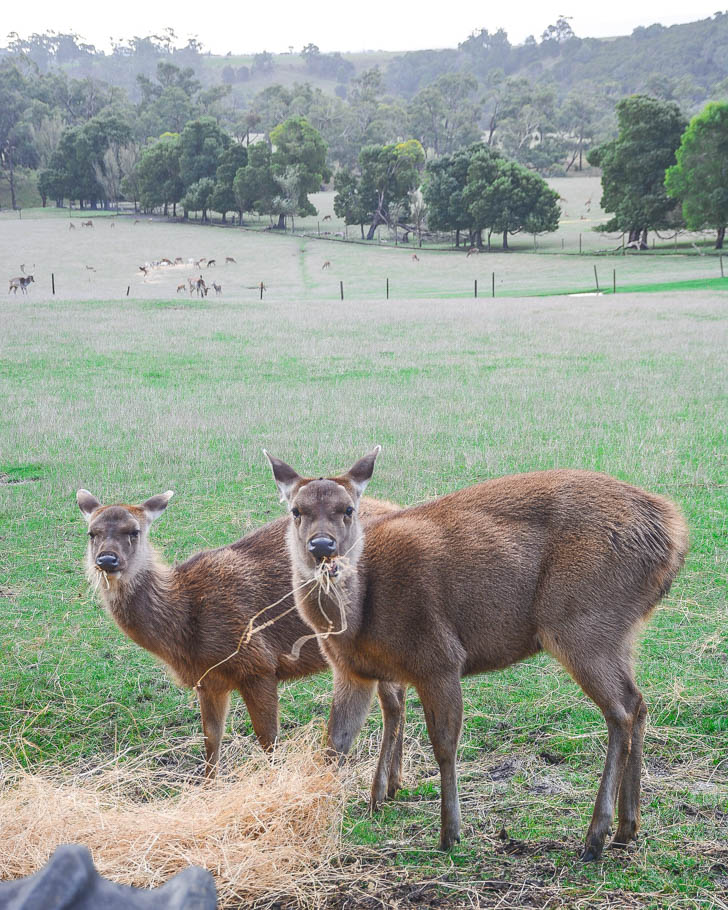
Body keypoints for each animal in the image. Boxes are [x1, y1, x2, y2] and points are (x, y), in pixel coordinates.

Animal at [77, 492, 406, 784]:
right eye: (92, 532)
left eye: (134, 531)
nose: (107, 560)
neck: (186, 624)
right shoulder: (208, 680)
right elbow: (211, 739)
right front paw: (208, 789)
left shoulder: (257, 664)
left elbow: (268, 741)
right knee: (398, 698)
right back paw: (393, 781)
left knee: (392, 703)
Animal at [268, 450, 688, 864]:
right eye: (296, 510)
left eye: (349, 509)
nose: (323, 547)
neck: (359, 620)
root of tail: (674, 532)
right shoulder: (350, 671)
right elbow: (335, 746)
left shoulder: (439, 656)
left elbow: (444, 745)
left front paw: (449, 833)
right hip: (619, 631)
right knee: (639, 702)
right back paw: (626, 829)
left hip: (583, 622)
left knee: (621, 710)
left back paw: (595, 836)